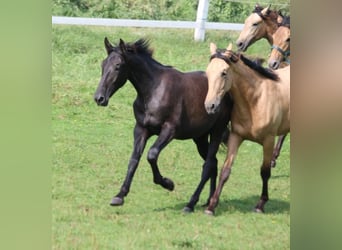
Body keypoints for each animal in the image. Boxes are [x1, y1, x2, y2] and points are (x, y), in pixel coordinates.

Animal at [93, 38, 234, 212]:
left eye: (118, 65)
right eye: (103, 64)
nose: (99, 98)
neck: (153, 91)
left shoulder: (169, 130)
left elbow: (152, 154)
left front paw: (168, 183)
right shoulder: (141, 129)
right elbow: (134, 159)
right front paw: (120, 195)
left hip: (216, 131)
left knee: (208, 164)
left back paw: (191, 204)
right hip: (199, 137)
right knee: (213, 163)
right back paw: (209, 200)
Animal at [204, 43, 290, 215]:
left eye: (224, 73)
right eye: (208, 72)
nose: (210, 106)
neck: (256, 100)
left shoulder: (268, 141)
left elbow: (264, 172)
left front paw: (260, 204)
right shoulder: (236, 137)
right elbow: (225, 171)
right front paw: (211, 206)